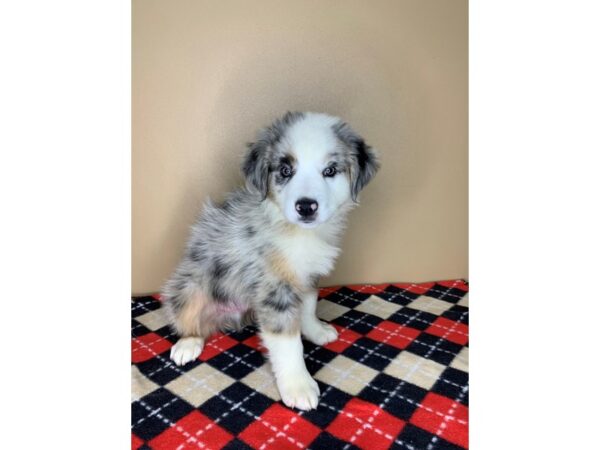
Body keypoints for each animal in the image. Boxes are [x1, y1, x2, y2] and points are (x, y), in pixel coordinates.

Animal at [163, 110, 380, 410]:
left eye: (330, 171)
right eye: (286, 171)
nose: (306, 206)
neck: (298, 233)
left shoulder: (307, 276)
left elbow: (309, 307)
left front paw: (316, 331)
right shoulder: (274, 290)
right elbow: (288, 344)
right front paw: (298, 386)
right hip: (187, 288)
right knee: (187, 319)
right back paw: (188, 344)